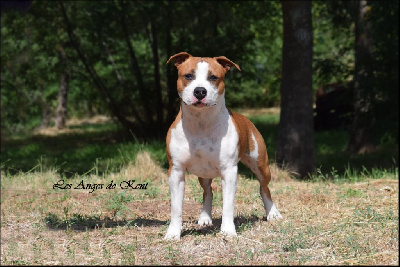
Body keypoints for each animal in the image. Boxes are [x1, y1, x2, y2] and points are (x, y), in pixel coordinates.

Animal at [162, 52, 282, 241]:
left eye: (213, 77)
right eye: (188, 76)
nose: (200, 91)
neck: (201, 122)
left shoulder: (229, 171)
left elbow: (228, 205)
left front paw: (228, 231)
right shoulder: (176, 171)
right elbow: (176, 207)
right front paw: (173, 233)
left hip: (261, 165)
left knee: (264, 188)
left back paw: (272, 213)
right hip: (204, 174)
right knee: (208, 192)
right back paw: (205, 217)